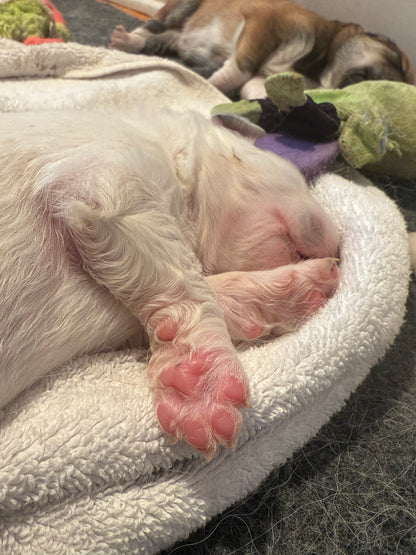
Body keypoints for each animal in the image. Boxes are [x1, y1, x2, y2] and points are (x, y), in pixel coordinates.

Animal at [0, 106, 338, 458]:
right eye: (299, 180)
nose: (338, 247)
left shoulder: (120, 318)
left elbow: (203, 287)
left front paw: (300, 289)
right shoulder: (109, 180)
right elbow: (184, 274)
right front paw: (202, 384)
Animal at [110, 0, 412, 98]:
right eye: (396, 58)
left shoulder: (262, 79)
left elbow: (257, 89)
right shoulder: (265, 22)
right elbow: (240, 67)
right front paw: (211, 85)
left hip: (177, 33)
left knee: (163, 39)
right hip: (183, 5)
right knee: (154, 25)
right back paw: (127, 40)